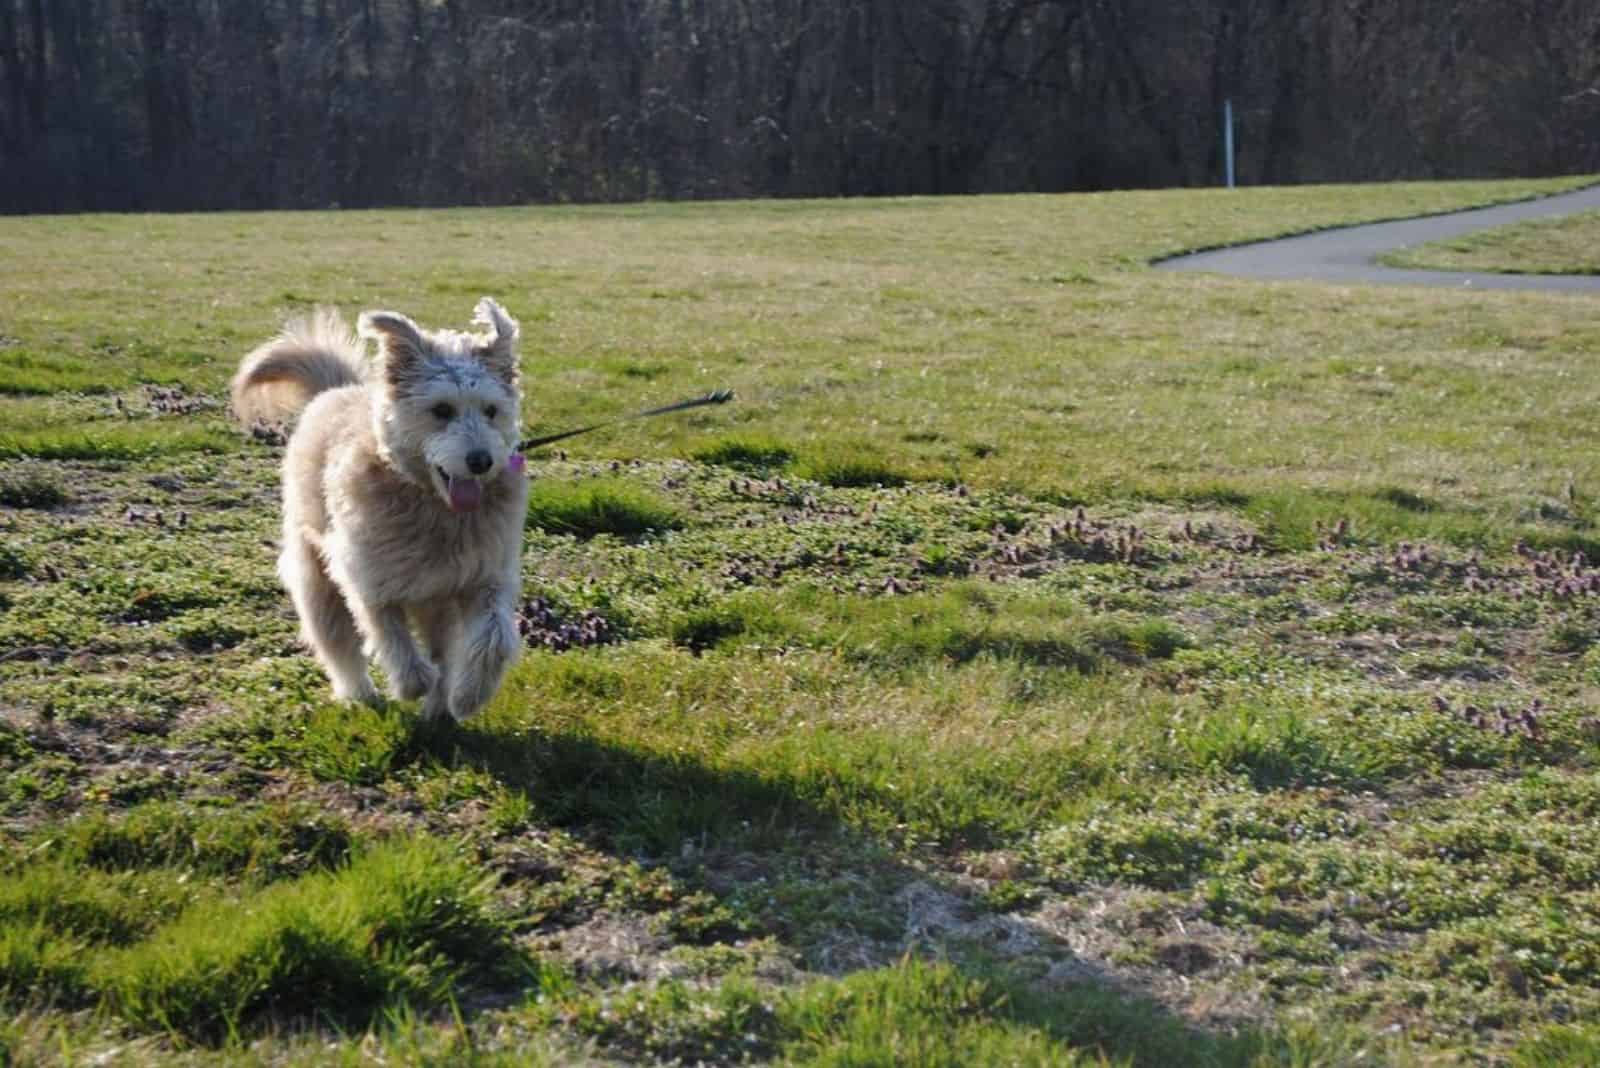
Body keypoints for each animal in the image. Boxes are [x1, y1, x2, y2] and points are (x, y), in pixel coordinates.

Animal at [230, 295, 524, 722]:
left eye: (491, 410)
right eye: (441, 410)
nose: (481, 461)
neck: (434, 507)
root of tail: (338, 389)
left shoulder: (484, 576)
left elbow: (494, 636)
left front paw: (469, 696)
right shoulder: (367, 576)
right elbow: (388, 632)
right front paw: (411, 682)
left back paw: (439, 709)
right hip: (316, 578)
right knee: (338, 643)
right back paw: (360, 694)